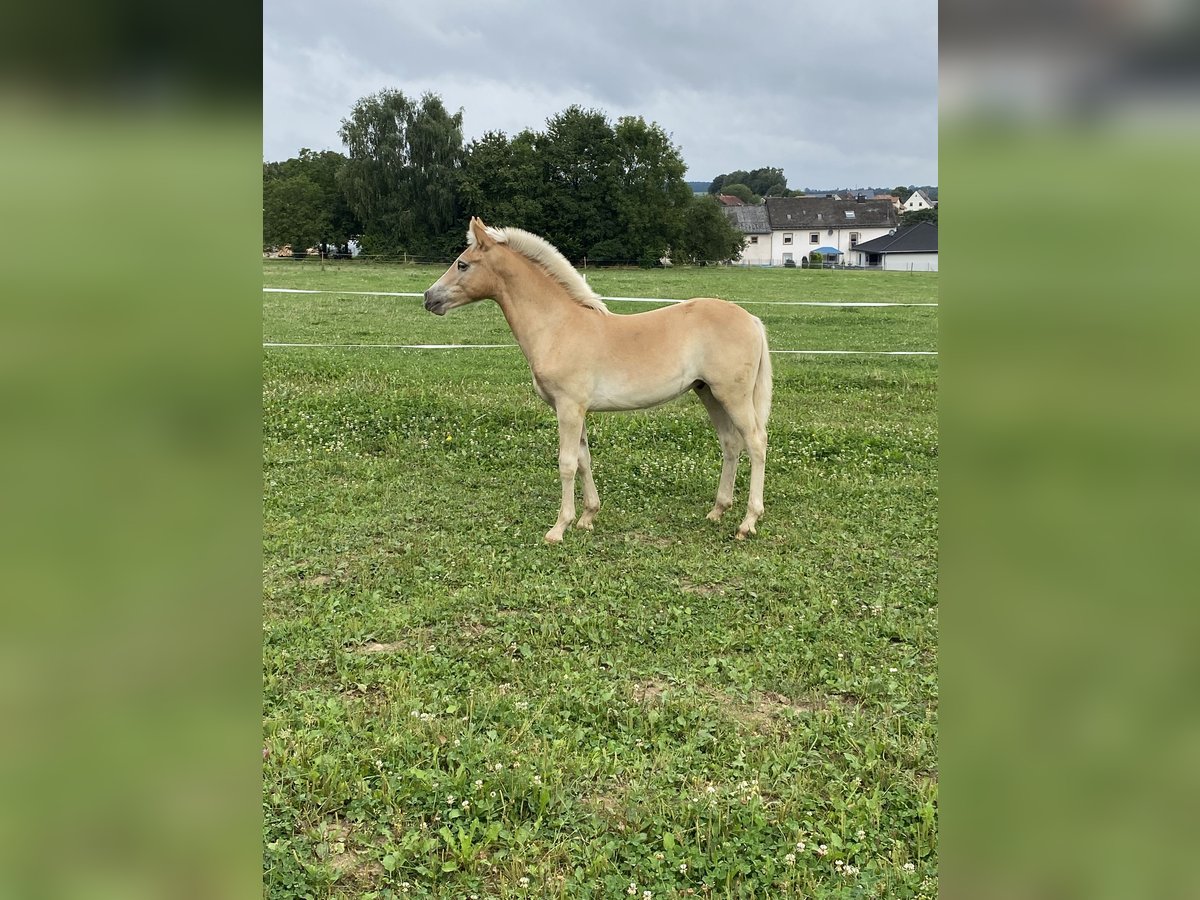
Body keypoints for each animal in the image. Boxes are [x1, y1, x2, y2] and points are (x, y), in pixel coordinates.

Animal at [427, 217, 772, 542]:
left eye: (462, 263)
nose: (429, 298)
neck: (558, 326)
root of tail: (752, 320)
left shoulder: (569, 407)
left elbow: (567, 463)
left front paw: (559, 528)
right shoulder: (574, 410)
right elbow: (584, 459)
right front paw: (587, 517)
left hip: (733, 395)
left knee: (756, 442)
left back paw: (748, 523)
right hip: (708, 393)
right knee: (730, 443)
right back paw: (718, 511)